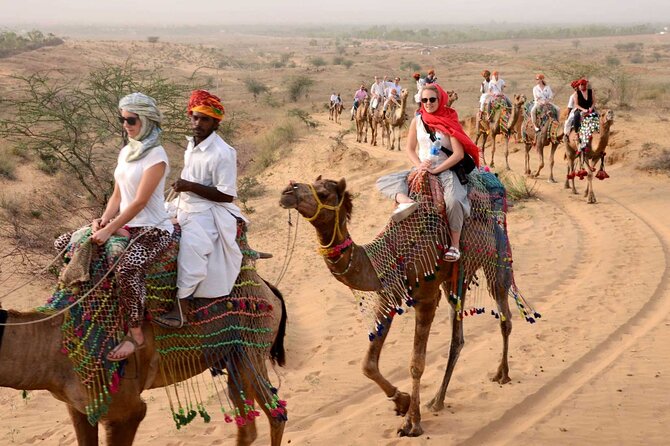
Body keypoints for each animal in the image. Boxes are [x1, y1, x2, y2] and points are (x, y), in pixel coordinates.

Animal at [0, 234, 288, 446]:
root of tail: (268, 288)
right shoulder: (78, 408)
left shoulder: (124, 411)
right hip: (231, 355)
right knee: (254, 420)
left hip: (250, 346)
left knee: (273, 415)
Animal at [280, 176, 538, 437]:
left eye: (323, 193)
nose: (287, 191)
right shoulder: (389, 295)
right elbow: (368, 365)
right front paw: (401, 401)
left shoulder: (427, 297)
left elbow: (416, 364)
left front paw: (412, 423)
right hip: (457, 279)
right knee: (458, 336)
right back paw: (438, 400)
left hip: (497, 256)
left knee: (505, 317)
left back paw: (502, 374)